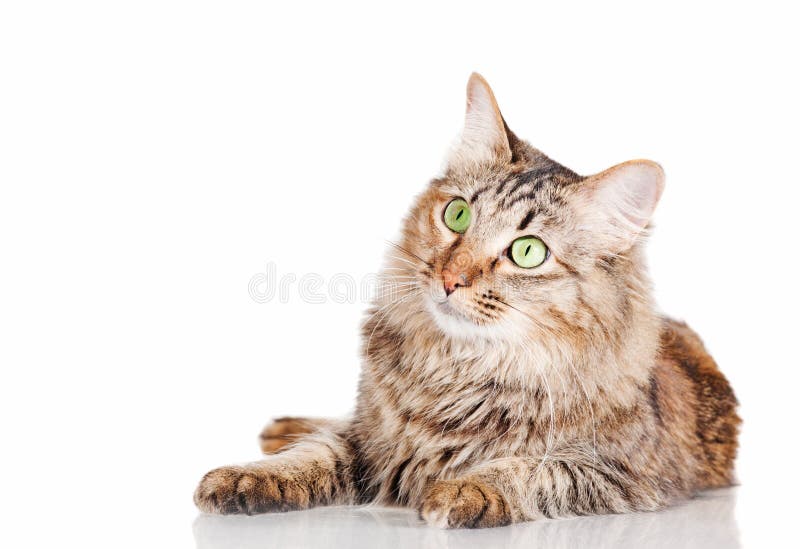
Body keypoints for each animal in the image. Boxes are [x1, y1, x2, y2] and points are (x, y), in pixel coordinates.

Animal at [192, 71, 736, 528]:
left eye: (527, 251)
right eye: (457, 215)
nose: (451, 278)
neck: (457, 371)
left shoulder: (621, 474)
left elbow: (532, 469)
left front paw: (463, 489)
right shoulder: (369, 439)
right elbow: (311, 456)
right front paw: (251, 475)